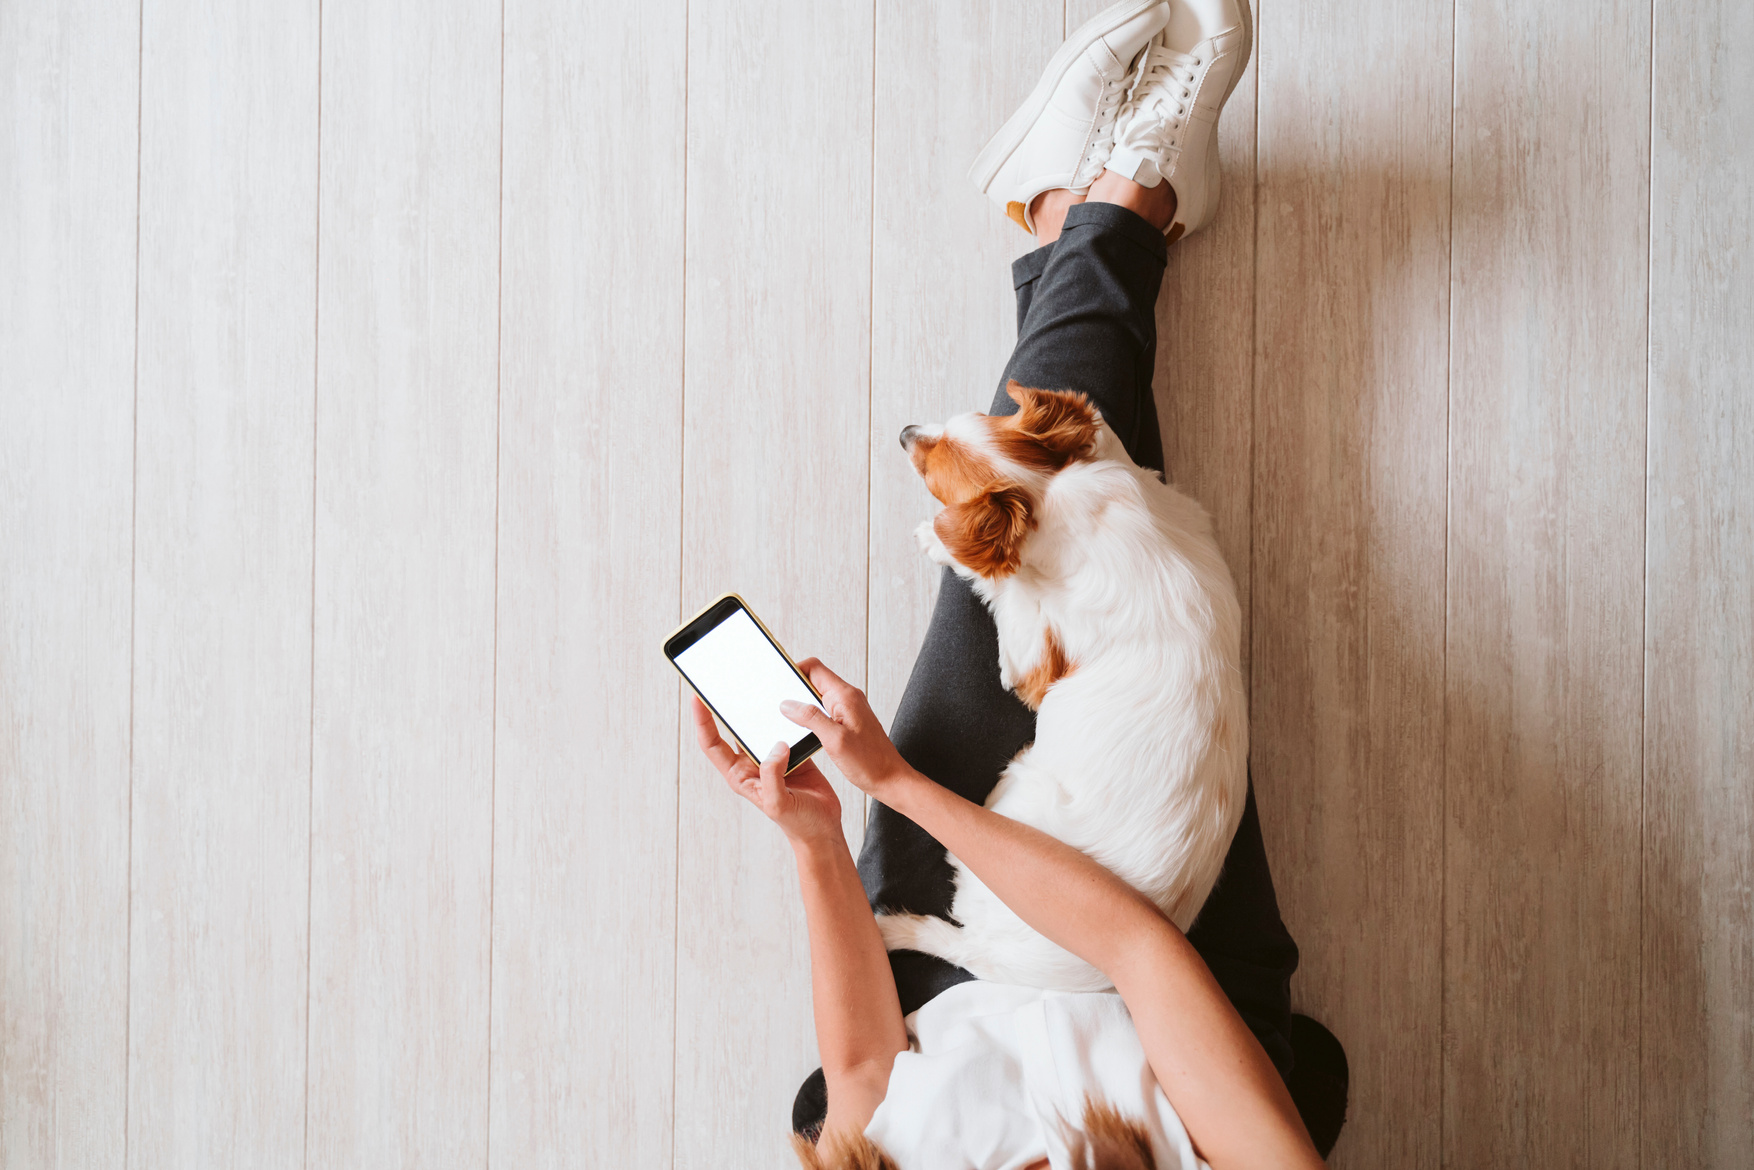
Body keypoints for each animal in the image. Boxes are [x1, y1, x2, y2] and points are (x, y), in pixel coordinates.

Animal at [891, 382, 1248, 989]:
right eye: (976, 414)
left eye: (931, 475)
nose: (904, 432)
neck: (1052, 497)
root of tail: (995, 955)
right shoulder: (1177, 504)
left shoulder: (1028, 664)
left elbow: (1002, 583)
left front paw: (937, 539)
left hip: (1014, 786)